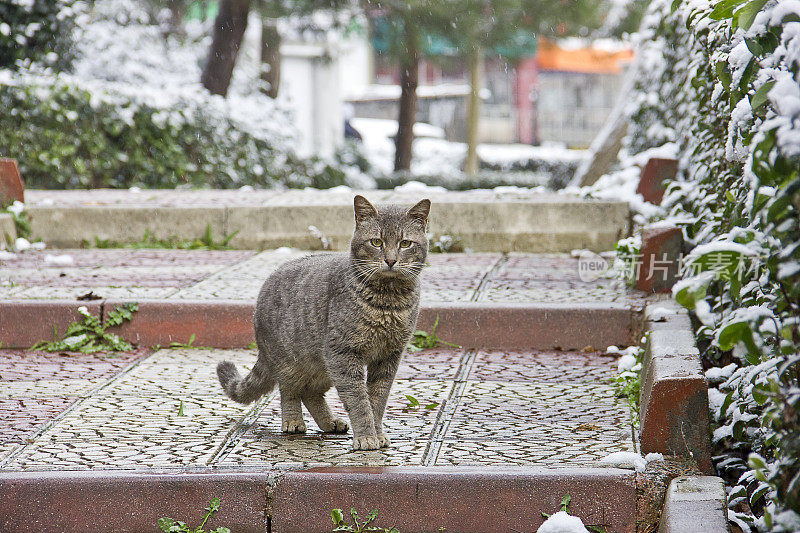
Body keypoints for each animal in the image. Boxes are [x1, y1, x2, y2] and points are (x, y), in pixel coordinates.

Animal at [217, 195, 432, 448]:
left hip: (322, 366)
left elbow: (377, 400)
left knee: (311, 393)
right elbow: (358, 400)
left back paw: (330, 423)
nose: (390, 260)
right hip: (292, 361)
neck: (388, 303)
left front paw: (378, 433)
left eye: (405, 243)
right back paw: (293, 422)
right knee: (289, 391)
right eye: (376, 242)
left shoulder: (389, 356)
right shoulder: (343, 353)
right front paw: (366, 437)